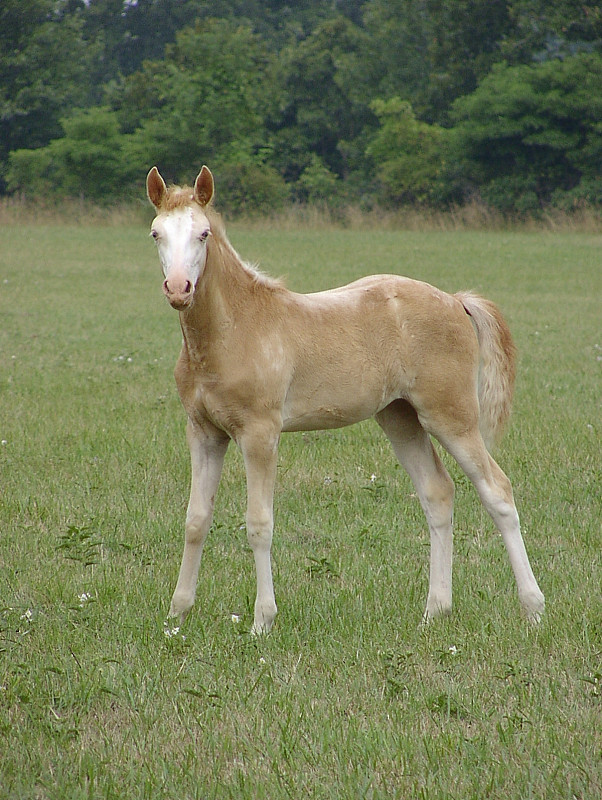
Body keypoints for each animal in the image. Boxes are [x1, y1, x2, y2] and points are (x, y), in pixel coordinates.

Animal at [145, 166, 544, 636]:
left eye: (203, 233)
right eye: (156, 233)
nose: (178, 289)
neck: (234, 329)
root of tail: (456, 301)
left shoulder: (260, 434)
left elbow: (259, 523)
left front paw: (263, 620)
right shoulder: (204, 433)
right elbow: (195, 520)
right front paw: (177, 613)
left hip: (451, 416)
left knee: (497, 490)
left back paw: (533, 608)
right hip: (400, 418)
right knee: (437, 494)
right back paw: (435, 611)